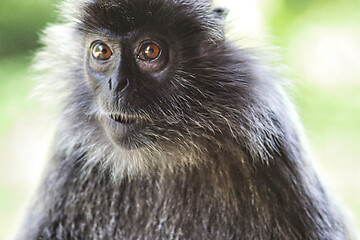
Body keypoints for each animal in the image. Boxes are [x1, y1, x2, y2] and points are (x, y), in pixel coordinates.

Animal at [15, 0, 352, 239]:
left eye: (150, 51)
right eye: (101, 51)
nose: (117, 84)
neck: (163, 153)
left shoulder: (274, 142)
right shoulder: (69, 155)